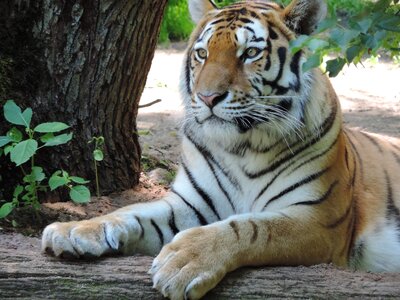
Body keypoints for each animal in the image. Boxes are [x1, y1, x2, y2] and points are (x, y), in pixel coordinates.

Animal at [41, 0, 400, 298]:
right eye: (202, 54)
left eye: (250, 53)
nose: (207, 97)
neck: (244, 147)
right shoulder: (191, 203)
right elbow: (130, 211)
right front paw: (74, 229)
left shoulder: (318, 219)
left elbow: (252, 227)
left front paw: (183, 261)